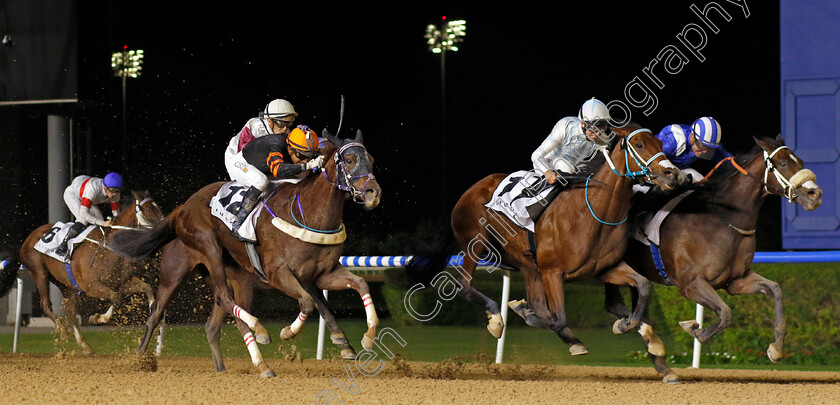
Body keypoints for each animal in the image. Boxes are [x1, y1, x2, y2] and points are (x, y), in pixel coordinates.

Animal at [13, 191, 162, 352]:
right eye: (149, 209)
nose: (164, 224)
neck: (109, 249)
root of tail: (29, 237)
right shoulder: (91, 286)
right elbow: (116, 298)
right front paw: (98, 318)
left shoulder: (121, 282)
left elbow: (147, 289)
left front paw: (155, 326)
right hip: (39, 272)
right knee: (46, 304)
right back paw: (63, 331)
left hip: (65, 285)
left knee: (70, 312)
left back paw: (84, 344)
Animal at [110, 130, 384, 376]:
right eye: (349, 160)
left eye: (371, 158)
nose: (373, 193)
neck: (307, 213)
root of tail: (182, 208)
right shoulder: (277, 273)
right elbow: (307, 302)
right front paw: (288, 332)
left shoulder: (320, 274)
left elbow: (358, 286)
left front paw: (364, 339)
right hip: (192, 260)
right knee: (170, 309)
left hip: (236, 276)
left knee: (215, 319)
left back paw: (236, 365)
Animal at [408, 125, 684, 382]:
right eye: (639, 144)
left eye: (661, 143)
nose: (672, 174)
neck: (592, 212)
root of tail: (471, 189)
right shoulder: (553, 272)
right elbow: (556, 318)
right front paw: (523, 311)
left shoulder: (603, 268)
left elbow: (643, 285)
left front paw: (636, 329)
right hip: (475, 245)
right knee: (465, 285)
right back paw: (496, 320)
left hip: (527, 265)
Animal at [608, 134, 824, 362]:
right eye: (782, 163)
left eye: (800, 161)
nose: (814, 194)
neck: (722, 219)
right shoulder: (690, 284)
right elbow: (726, 313)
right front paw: (694, 329)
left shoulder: (735, 281)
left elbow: (775, 289)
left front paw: (776, 349)